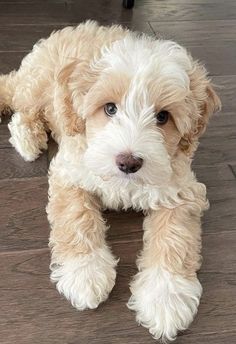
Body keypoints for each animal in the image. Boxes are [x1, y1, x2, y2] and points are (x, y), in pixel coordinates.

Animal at [0, 21, 221, 342]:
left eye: (163, 117)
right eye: (110, 109)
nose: (128, 162)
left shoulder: (180, 189)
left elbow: (175, 236)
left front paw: (165, 298)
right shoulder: (71, 172)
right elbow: (76, 217)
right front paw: (84, 273)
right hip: (38, 85)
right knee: (22, 106)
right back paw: (28, 139)